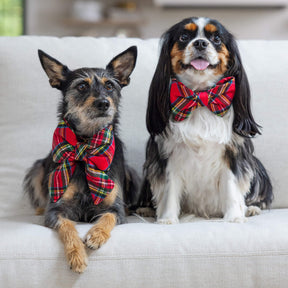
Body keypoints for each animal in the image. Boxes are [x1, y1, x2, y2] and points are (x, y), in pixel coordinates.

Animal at [23, 46, 138, 272]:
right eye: (82, 86)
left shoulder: (116, 209)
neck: (87, 142)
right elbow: (67, 226)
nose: (103, 103)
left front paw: (96, 235)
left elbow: (108, 217)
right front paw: (76, 255)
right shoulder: (56, 210)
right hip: (37, 169)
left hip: (132, 174)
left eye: (110, 85)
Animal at [138, 17, 274, 225]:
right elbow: (169, 189)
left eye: (216, 39)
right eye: (184, 37)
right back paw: (145, 210)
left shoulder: (233, 152)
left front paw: (234, 217)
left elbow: (231, 185)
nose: (201, 43)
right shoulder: (167, 154)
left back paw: (251, 209)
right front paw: (167, 219)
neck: (200, 95)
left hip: (256, 166)